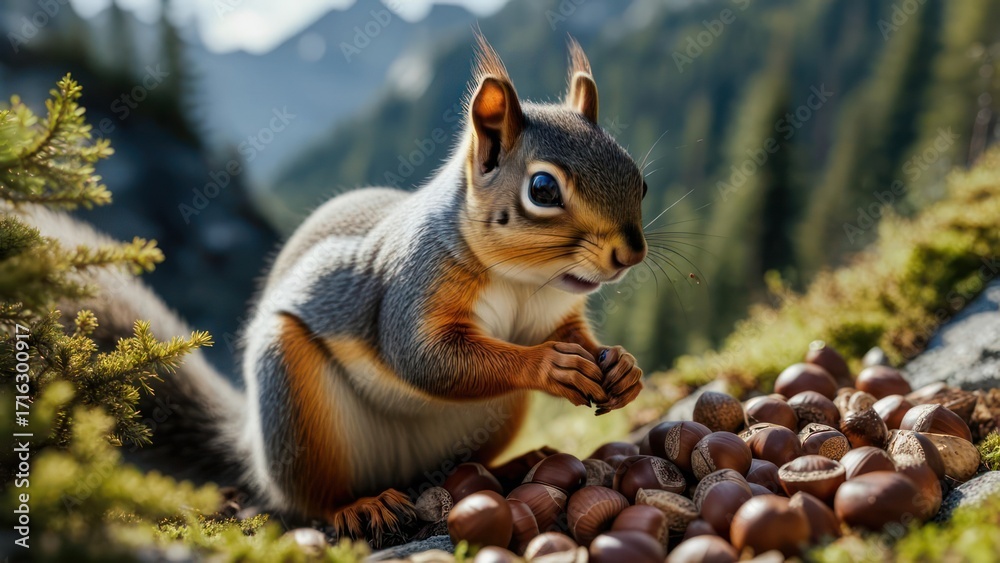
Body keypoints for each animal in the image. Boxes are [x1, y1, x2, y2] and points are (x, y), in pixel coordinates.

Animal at [20, 35, 648, 543]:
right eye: (542, 189)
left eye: (639, 177)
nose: (630, 254)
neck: (525, 282)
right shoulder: (410, 284)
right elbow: (425, 358)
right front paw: (548, 365)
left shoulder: (554, 312)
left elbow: (573, 336)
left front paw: (623, 369)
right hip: (293, 401)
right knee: (308, 498)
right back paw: (359, 507)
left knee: (459, 466)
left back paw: (518, 464)